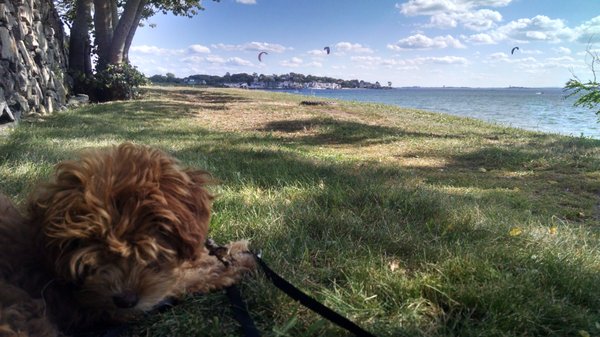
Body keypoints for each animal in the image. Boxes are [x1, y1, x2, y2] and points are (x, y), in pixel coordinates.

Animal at [0, 142, 255, 336]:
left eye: (148, 250)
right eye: (88, 247)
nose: (125, 300)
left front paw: (228, 253)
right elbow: (179, 280)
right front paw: (234, 263)